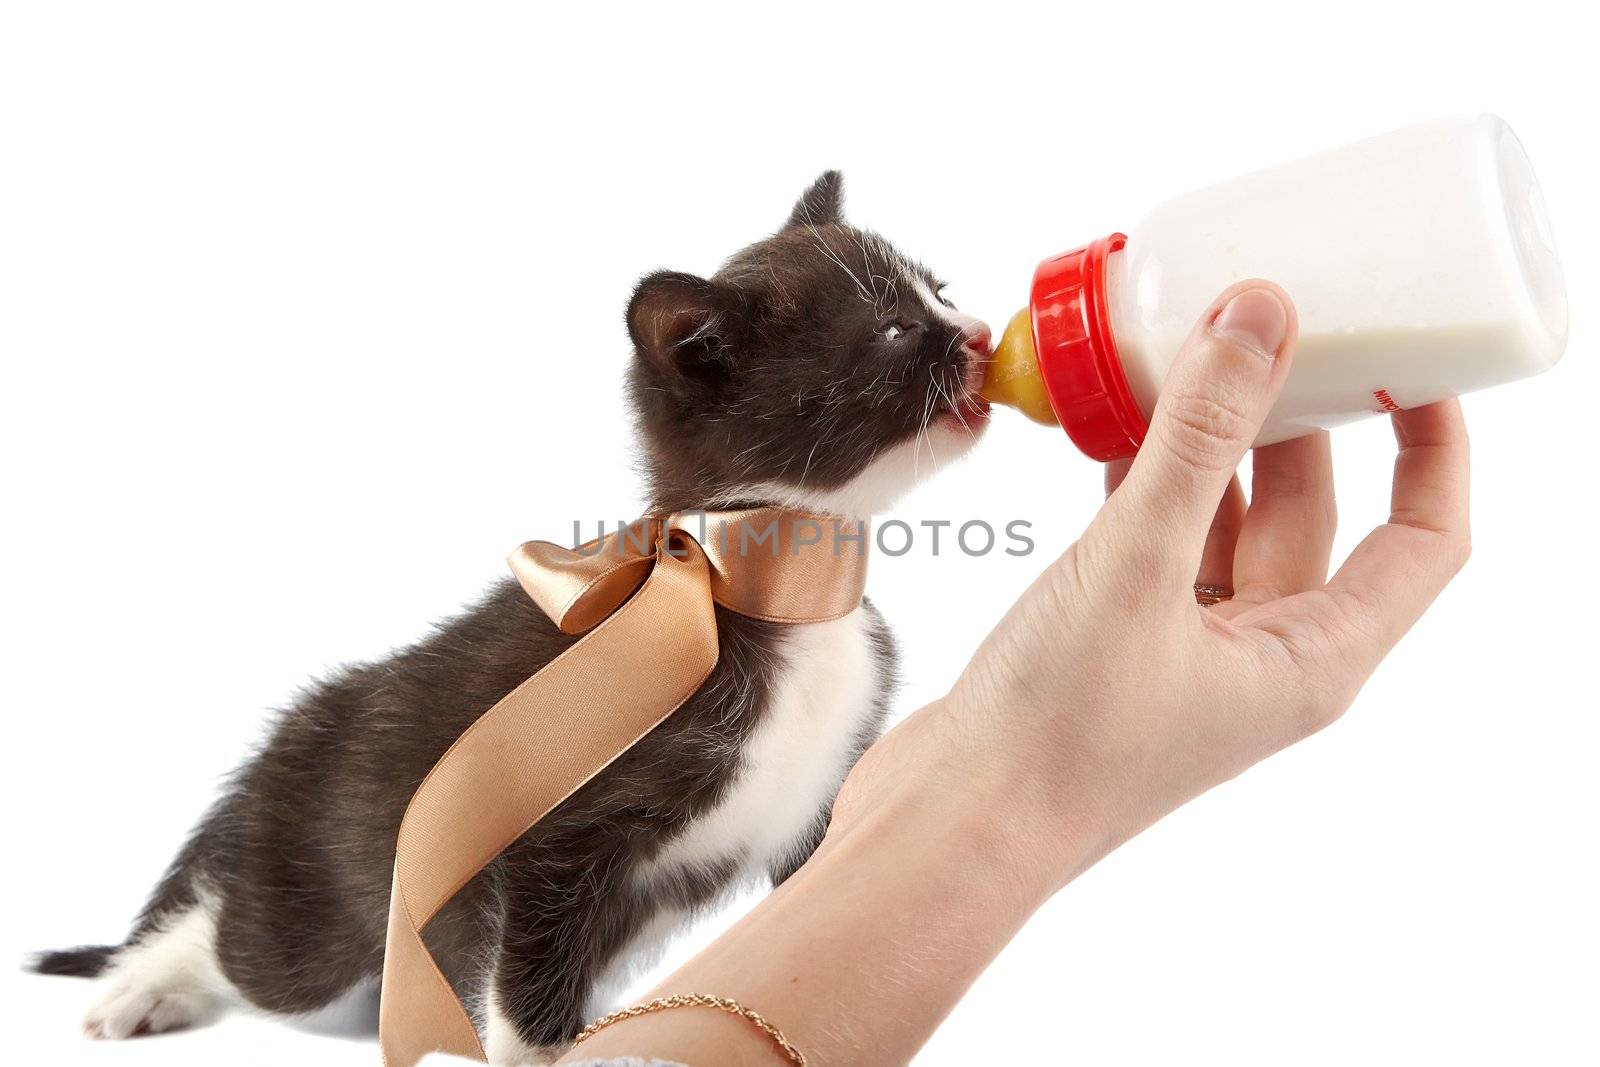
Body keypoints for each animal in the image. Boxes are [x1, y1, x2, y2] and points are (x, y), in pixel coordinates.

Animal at [31, 171, 992, 1062]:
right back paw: (143, 984)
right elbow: (528, 968)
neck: (763, 591)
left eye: (939, 292)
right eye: (894, 330)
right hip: (314, 902)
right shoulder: (546, 829)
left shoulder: (829, 795)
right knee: (243, 940)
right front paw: (544, 1049)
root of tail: (298, 732)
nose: (979, 335)